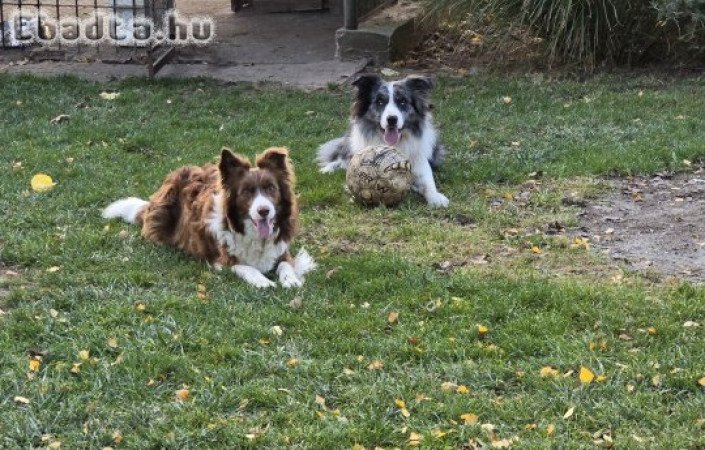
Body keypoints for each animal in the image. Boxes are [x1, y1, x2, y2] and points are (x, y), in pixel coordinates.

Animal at [101, 148, 314, 288]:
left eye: (271, 188)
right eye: (247, 191)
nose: (264, 211)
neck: (255, 237)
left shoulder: (282, 250)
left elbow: (286, 264)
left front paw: (291, 280)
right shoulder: (223, 260)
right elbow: (246, 267)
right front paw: (263, 281)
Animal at [316, 74, 448, 207]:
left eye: (402, 101)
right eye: (380, 102)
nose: (392, 119)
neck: (394, 144)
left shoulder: (420, 162)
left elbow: (428, 183)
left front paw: (436, 197)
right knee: (340, 159)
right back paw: (326, 170)